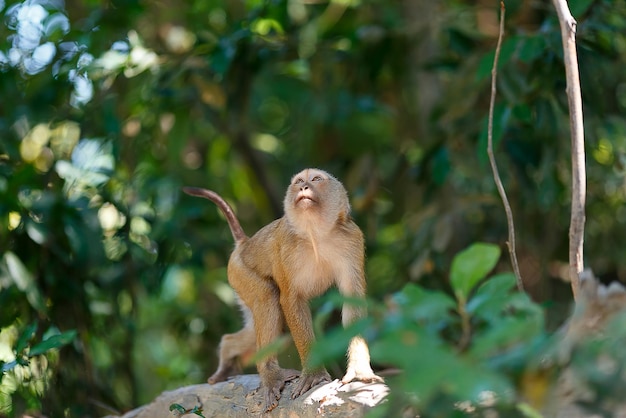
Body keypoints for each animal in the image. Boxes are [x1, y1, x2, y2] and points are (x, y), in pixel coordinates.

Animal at [183, 169, 380, 412]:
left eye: (316, 179)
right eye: (299, 182)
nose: (304, 187)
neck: (315, 234)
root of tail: (244, 243)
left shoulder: (352, 238)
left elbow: (353, 300)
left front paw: (359, 372)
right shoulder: (286, 245)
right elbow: (290, 300)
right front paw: (313, 374)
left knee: (260, 328)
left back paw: (228, 352)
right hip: (239, 272)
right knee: (268, 296)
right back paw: (269, 373)